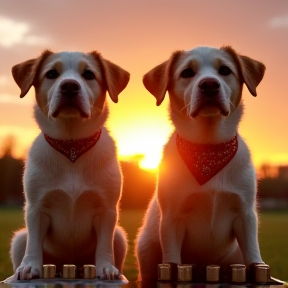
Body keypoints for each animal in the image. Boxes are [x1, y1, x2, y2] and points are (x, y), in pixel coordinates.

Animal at [9, 50, 130, 280]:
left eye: (89, 74)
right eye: (51, 73)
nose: (70, 86)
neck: (72, 145)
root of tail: (70, 265)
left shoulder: (107, 209)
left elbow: (104, 246)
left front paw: (106, 268)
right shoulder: (36, 208)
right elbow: (34, 244)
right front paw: (29, 266)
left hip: (119, 237)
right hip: (19, 239)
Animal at [135, 46, 266, 280]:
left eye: (225, 70)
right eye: (187, 72)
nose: (209, 84)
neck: (207, 147)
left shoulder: (245, 215)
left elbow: (253, 253)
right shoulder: (172, 219)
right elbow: (172, 259)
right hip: (146, 249)